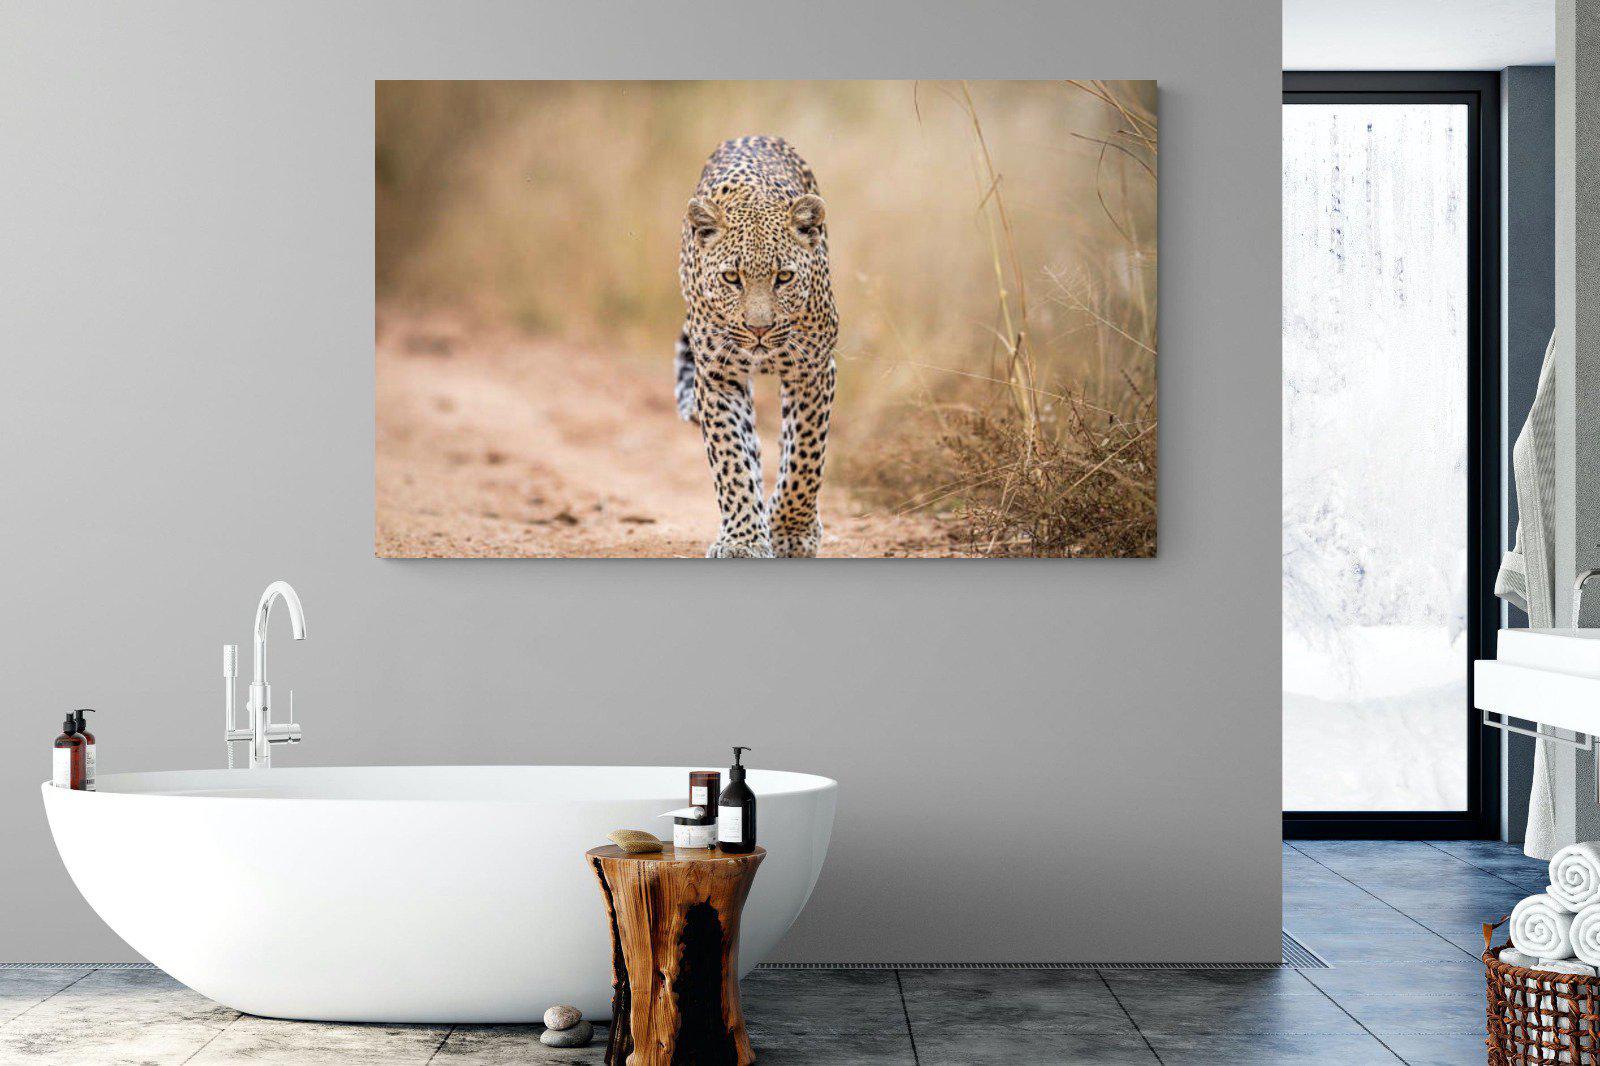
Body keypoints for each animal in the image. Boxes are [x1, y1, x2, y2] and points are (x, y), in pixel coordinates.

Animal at [675, 135, 838, 559]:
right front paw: (743, 540)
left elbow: (805, 456)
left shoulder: (813, 370)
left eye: (784, 277)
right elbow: (732, 459)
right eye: (732, 278)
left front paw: (790, 532)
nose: (759, 329)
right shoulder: (717, 377)